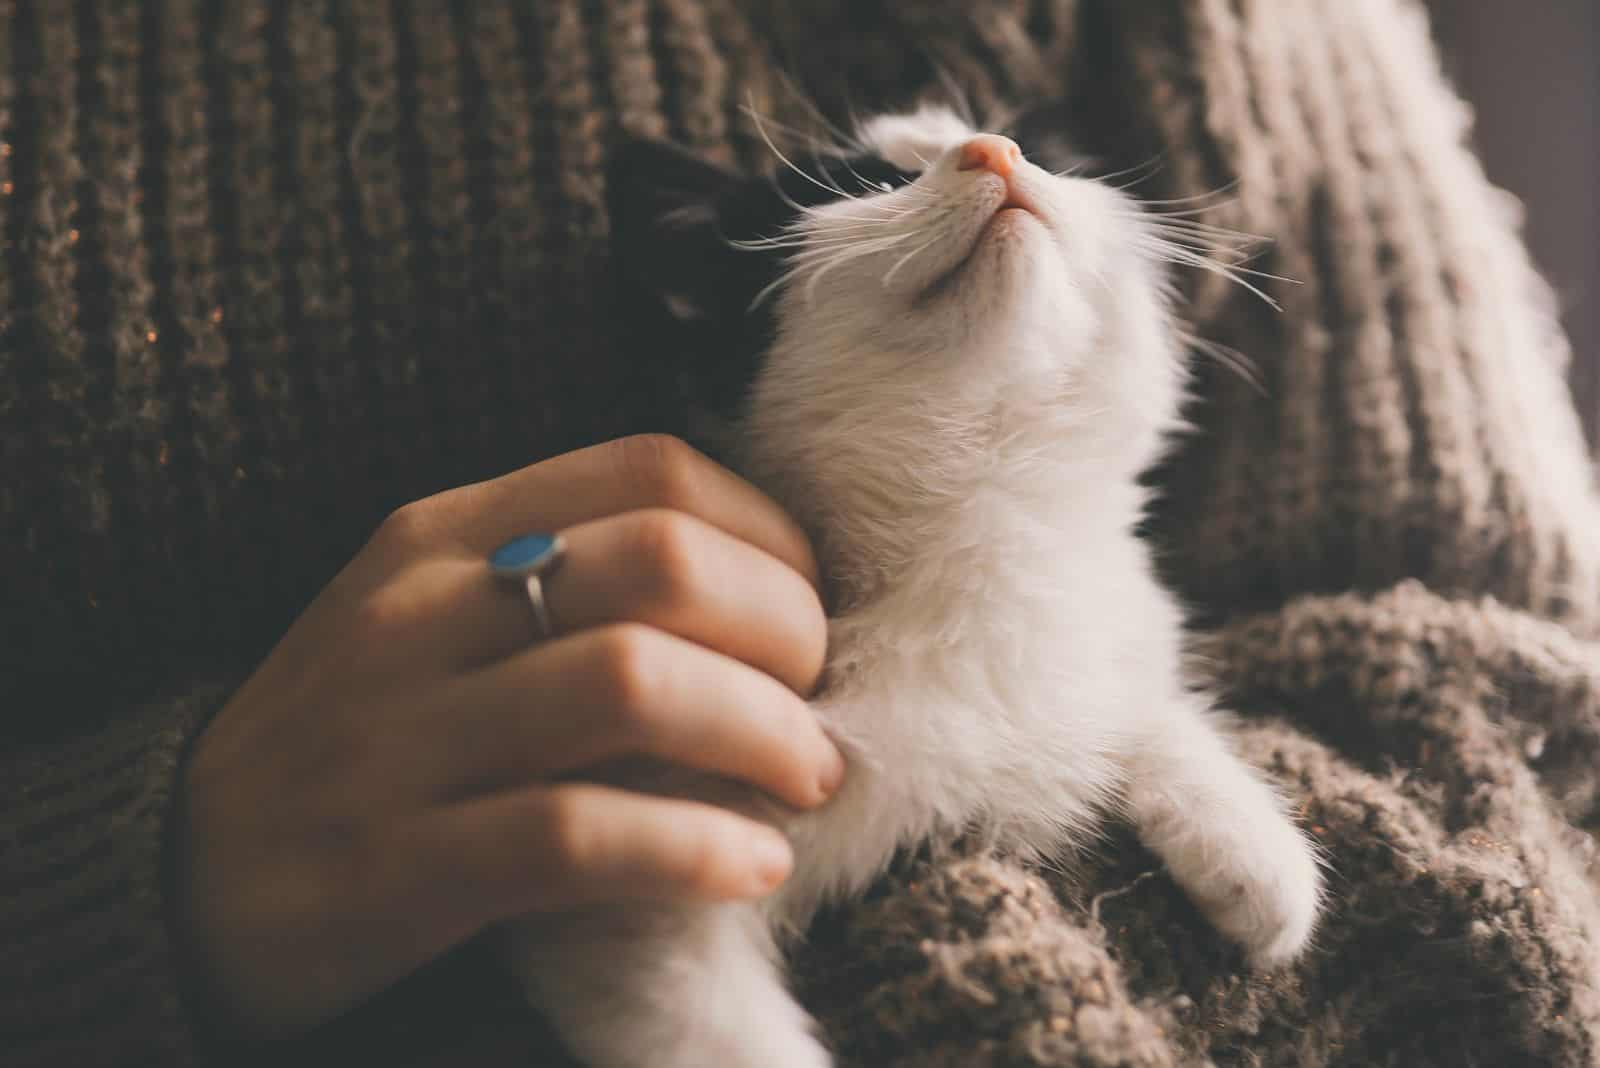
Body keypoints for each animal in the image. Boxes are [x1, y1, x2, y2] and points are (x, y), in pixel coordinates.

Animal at [505, 102, 1318, 1068]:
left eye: (1045, 160)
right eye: (868, 182)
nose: (997, 153)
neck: (979, 520)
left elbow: (1131, 692)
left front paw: (1254, 849)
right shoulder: (645, 878)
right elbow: (715, 1029)